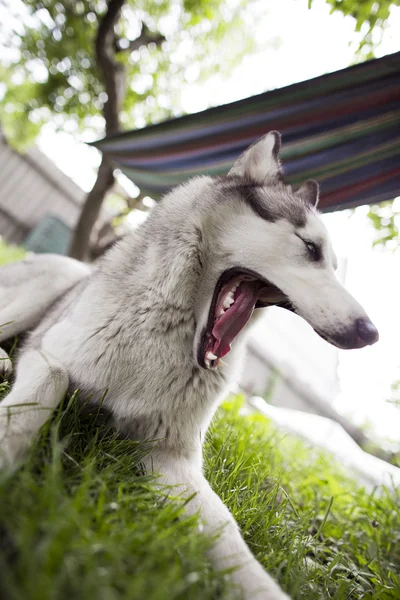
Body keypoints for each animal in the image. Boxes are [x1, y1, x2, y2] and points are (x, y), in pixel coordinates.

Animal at [0, 134, 378, 596]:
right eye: (310, 249)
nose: (371, 333)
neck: (165, 332)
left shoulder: (169, 457)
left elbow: (227, 533)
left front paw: (258, 586)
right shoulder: (46, 353)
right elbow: (48, 383)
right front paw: (6, 445)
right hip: (47, 286)